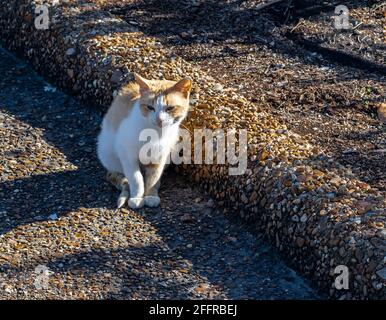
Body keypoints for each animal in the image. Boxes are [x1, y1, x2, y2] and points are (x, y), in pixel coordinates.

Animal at [97, 72, 192, 209]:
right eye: (150, 107)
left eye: (170, 108)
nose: (159, 120)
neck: (155, 134)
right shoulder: (127, 156)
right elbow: (136, 178)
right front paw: (137, 197)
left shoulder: (159, 157)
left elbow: (153, 177)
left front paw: (151, 195)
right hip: (109, 155)